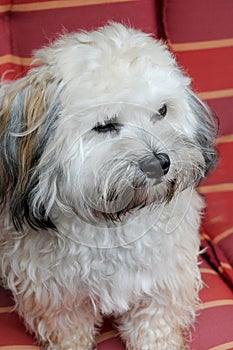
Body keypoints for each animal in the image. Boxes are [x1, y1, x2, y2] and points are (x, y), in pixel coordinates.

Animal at [0, 23, 217, 348]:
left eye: (162, 111)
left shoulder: (164, 280)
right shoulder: (53, 295)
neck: (113, 223)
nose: (159, 163)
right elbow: (68, 330)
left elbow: (156, 322)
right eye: (104, 126)